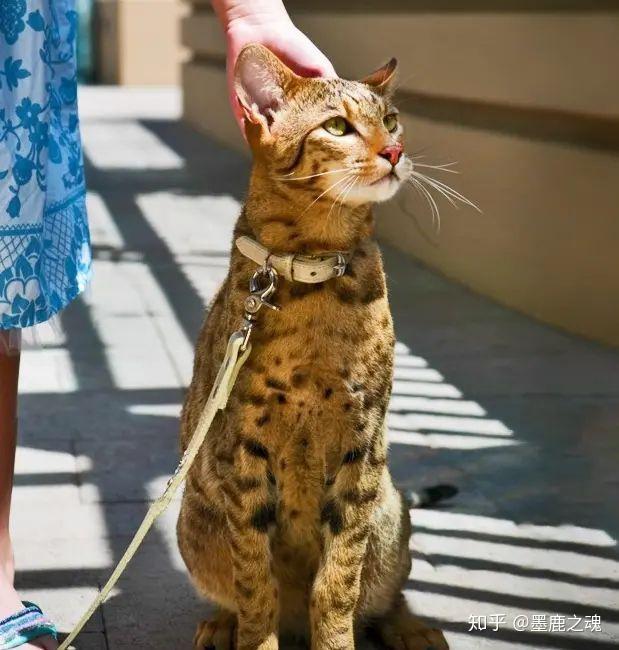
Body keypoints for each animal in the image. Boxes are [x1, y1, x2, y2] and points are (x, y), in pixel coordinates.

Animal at [177, 43, 448, 644]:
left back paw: (412, 628)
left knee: (385, 592)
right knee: (236, 588)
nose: (395, 150)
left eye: (391, 120)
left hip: (390, 512)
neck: (317, 267)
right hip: (194, 521)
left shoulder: (363, 437)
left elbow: (339, 578)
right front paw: (256, 639)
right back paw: (221, 624)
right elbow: (255, 581)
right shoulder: (241, 448)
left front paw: (337, 639)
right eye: (338, 126)